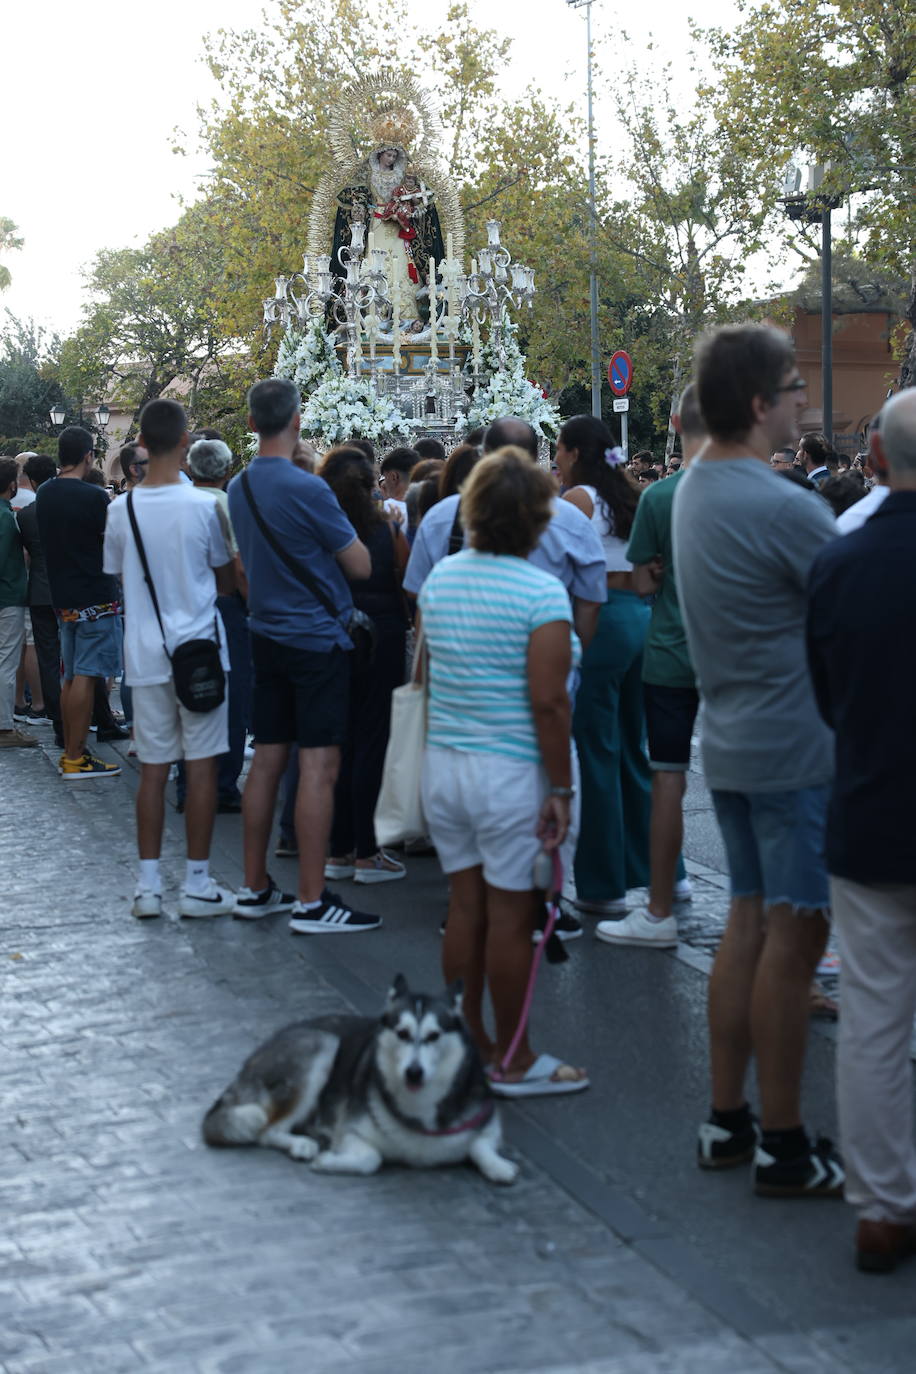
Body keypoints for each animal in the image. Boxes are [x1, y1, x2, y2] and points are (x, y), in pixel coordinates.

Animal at [201, 972, 519, 1187]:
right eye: (402, 1033)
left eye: (433, 1036)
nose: (413, 1071)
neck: (420, 1108)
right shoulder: (351, 1131)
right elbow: (372, 1159)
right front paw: (329, 1160)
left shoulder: (485, 1117)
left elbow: (481, 1144)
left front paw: (499, 1166)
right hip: (322, 1045)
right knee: (267, 1130)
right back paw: (301, 1144)